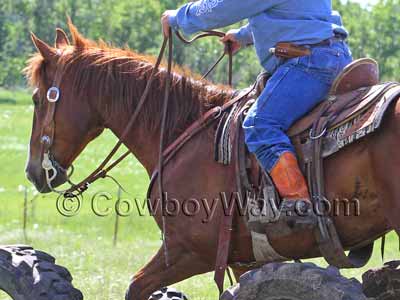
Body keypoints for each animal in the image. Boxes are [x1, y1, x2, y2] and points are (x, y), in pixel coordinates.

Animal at [25, 24, 400, 300]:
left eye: (38, 98)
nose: (33, 172)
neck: (181, 128)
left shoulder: (188, 251)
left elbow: (136, 286)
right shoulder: (243, 259)